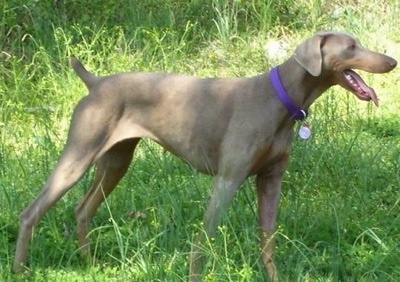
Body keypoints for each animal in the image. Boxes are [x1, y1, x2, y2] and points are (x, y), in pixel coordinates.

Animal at [13, 31, 396, 280]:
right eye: (351, 46)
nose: (392, 61)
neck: (282, 97)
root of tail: (94, 82)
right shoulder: (228, 179)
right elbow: (205, 238)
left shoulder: (271, 181)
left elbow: (268, 239)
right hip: (79, 155)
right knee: (31, 212)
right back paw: (20, 269)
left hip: (116, 161)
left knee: (83, 209)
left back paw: (89, 264)